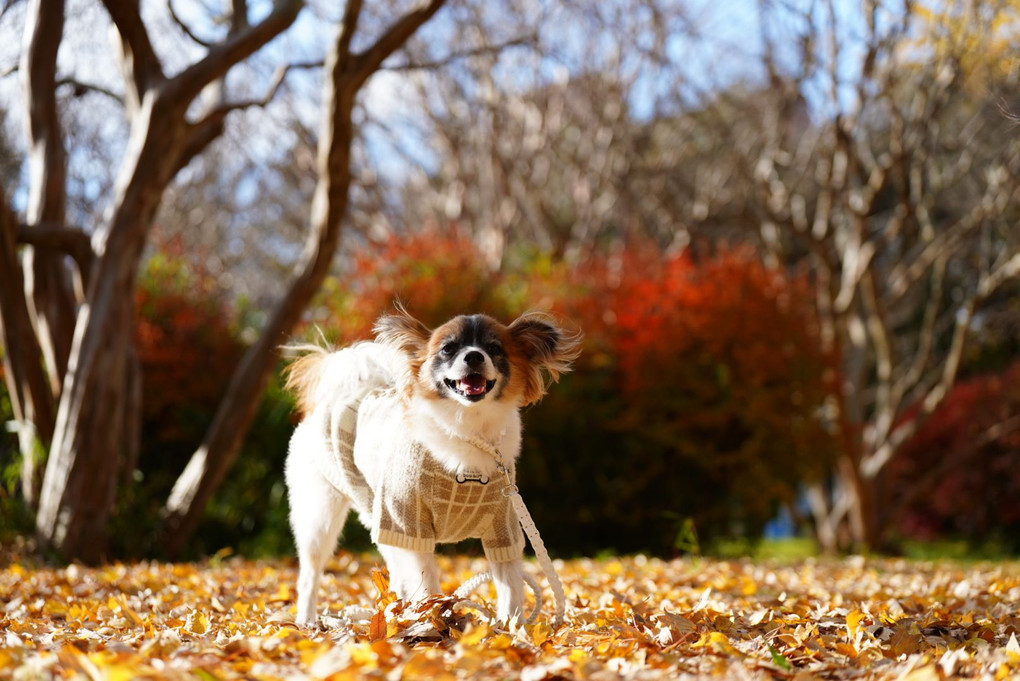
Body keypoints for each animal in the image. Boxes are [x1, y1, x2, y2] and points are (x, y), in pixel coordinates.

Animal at [283, 305, 583, 623]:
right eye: (448, 348)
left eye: (494, 348)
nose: (473, 356)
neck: (467, 430)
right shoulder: (409, 524)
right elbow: (428, 584)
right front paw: (435, 620)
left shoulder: (503, 526)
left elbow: (510, 586)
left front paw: (511, 628)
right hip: (323, 516)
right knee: (311, 573)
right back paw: (307, 620)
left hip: (376, 513)